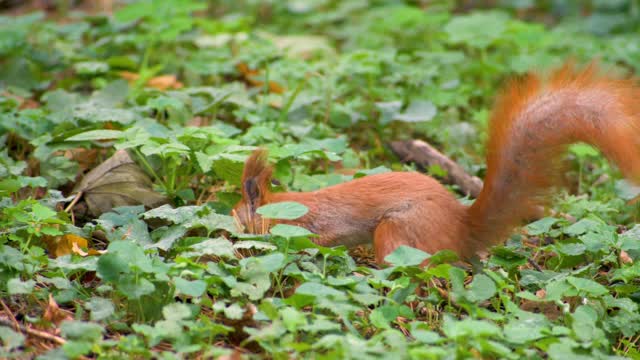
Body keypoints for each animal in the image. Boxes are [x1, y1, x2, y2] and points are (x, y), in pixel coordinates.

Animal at [232, 62, 640, 262]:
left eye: (238, 212)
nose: (227, 231)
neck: (284, 205)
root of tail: (461, 229)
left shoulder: (314, 225)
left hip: (398, 233)